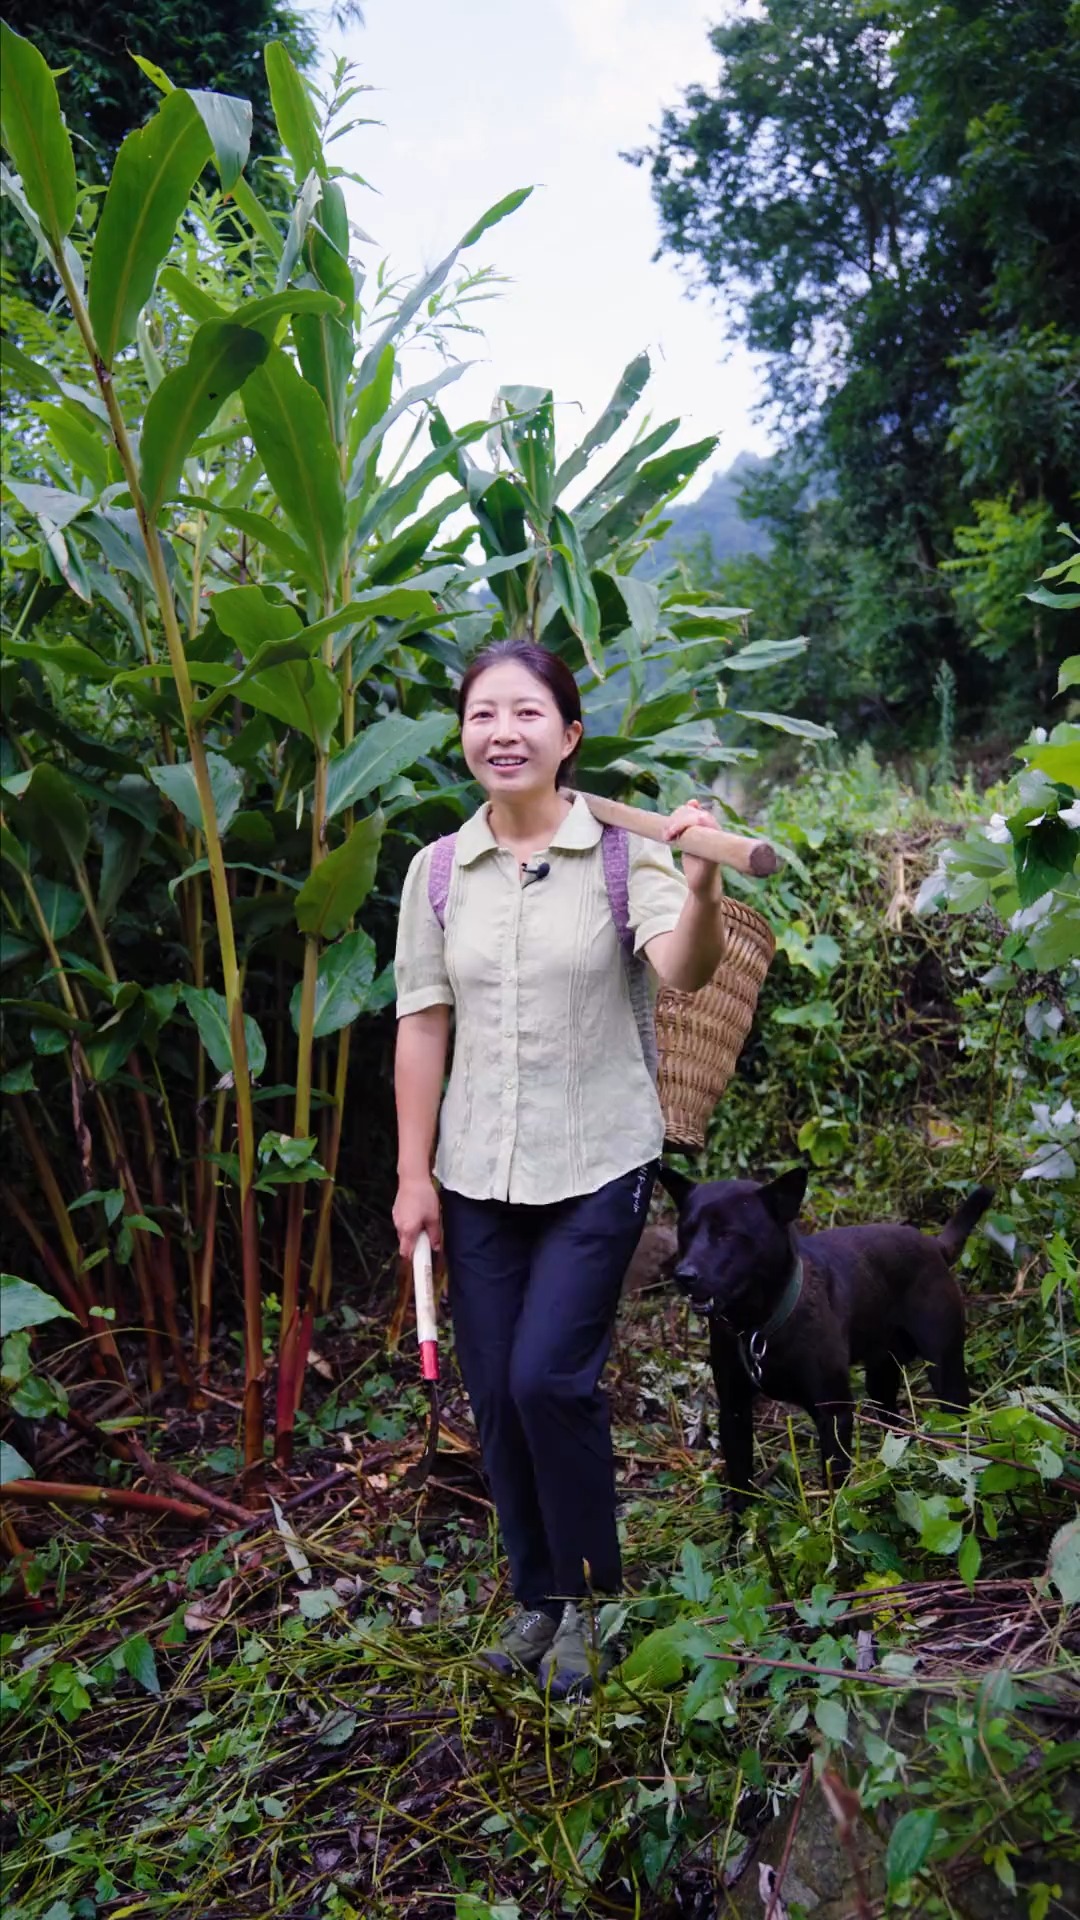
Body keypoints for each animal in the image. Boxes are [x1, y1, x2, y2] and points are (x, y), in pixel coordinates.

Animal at [653, 1152, 991, 1512]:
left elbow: (835, 1488)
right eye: (685, 1232)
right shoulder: (734, 1412)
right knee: (895, 1426)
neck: (759, 1325)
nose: (684, 1275)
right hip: (881, 1378)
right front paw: (741, 1527)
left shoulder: (833, 1414)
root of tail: (934, 1245)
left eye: (728, 1234)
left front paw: (831, 1523)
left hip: (946, 1372)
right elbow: (741, 1486)